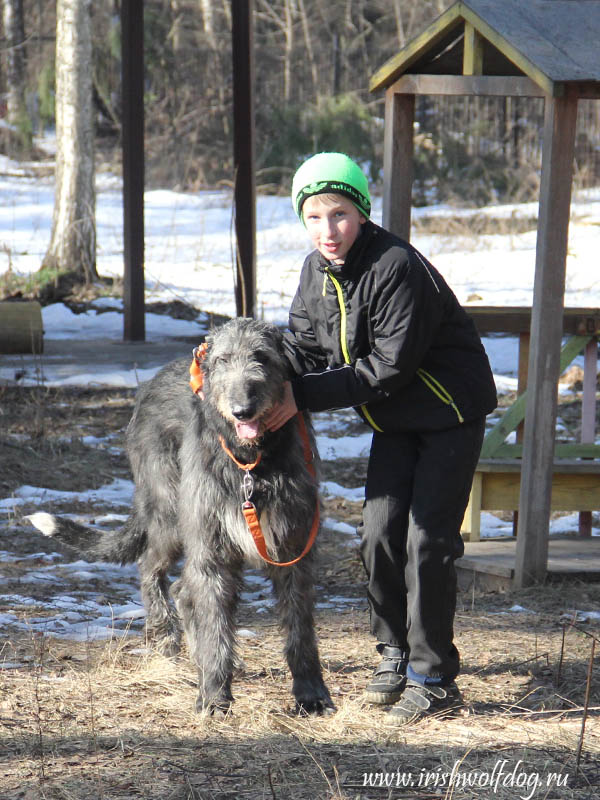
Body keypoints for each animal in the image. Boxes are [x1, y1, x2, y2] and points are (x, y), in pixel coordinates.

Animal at [27, 316, 332, 716]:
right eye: (222, 360)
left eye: (262, 357)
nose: (242, 410)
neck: (251, 463)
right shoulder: (210, 546)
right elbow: (214, 621)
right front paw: (215, 695)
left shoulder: (293, 544)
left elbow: (300, 625)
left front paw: (311, 693)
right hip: (171, 513)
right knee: (152, 567)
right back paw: (167, 639)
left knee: (182, 589)